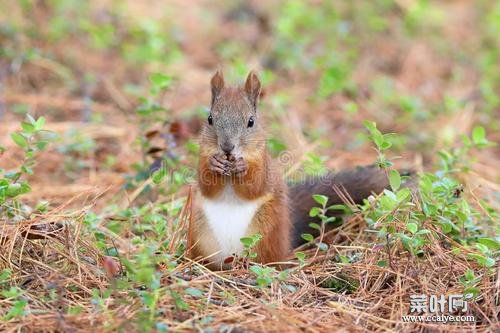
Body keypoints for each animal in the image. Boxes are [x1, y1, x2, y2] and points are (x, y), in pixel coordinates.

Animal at [188, 70, 390, 270]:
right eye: (210, 119)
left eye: (251, 121)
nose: (227, 147)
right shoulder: (202, 157)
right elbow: (207, 185)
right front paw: (215, 163)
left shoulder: (263, 163)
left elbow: (255, 186)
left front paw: (242, 167)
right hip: (200, 231)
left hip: (266, 230)